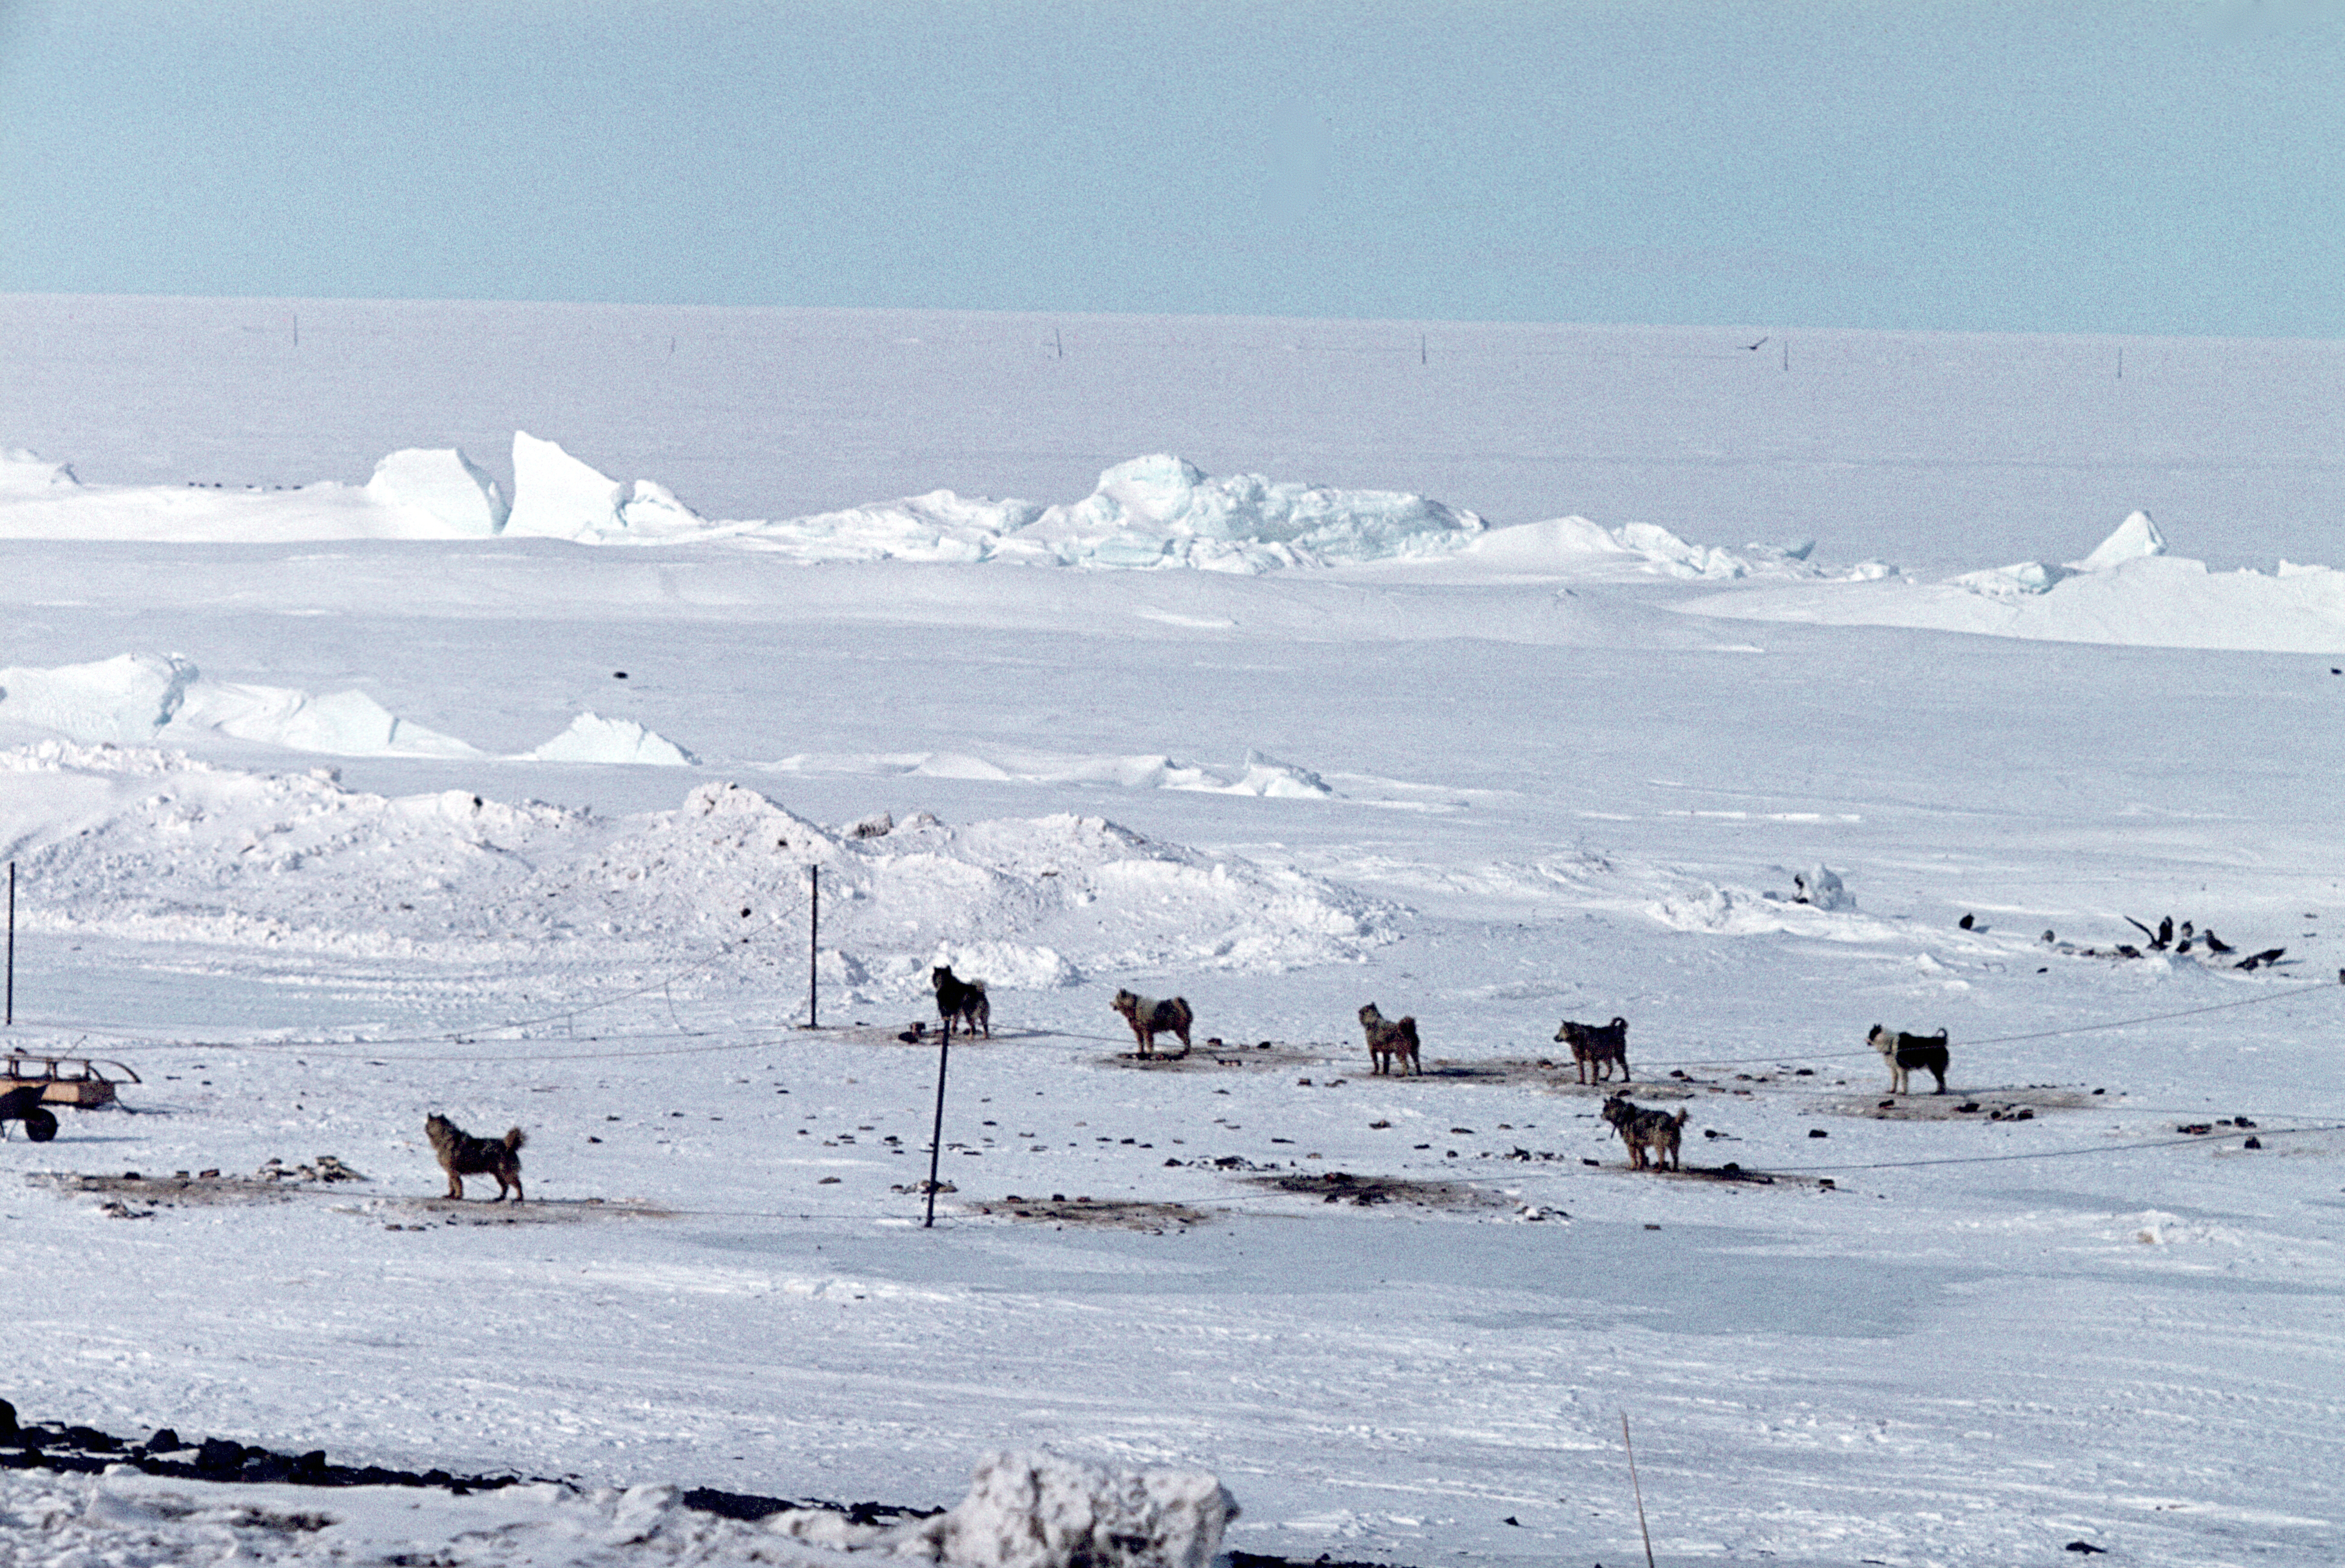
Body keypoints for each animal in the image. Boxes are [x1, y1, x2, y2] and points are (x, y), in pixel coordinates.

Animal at [429, 1111, 530, 1200]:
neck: (445, 1136)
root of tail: (509, 1146)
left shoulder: (453, 1172)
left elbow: (457, 1184)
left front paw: (457, 1196)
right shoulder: (451, 1171)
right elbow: (451, 1185)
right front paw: (451, 1196)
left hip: (506, 1173)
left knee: (518, 1184)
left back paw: (519, 1198)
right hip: (499, 1174)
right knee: (505, 1187)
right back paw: (500, 1198)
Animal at [1111, 984, 1191, 1059]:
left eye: (1116, 999)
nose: (1110, 1003)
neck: (1134, 1007)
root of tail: (1182, 1005)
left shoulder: (1147, 1031)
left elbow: (1149, 1043)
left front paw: (1149, 1053)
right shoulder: (1138, 1031)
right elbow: (1141, 1043)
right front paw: (1140, 1052)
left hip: (1180, 1029)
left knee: (1187, 1040)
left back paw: (1186, 1052)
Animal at [1369, 1003, 1416, 1078]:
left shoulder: (1373, 1048)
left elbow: (1376, 1062)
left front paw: (1376, 1071)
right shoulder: (1385, 1050)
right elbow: (1386, 1062)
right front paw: (1384, 1072)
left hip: (1400, 1052)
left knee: (1405, 1064)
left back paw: (1403, 1074)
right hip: (1413, 1050)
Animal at [1557, 1008, 1632, 1082]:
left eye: (1560, 1032)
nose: (1555, 1038)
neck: (1578, 1039)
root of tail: (1619, 1028)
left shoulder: (1594, 1059)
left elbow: (1594, 1072)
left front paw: (1593, 1082)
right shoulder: (1579, 1059)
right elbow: (1581, 1071)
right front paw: (1582, 1081)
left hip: (1618, 1055)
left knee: (1625, 1066)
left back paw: (1627, 1079)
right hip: (1606, 1056)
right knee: (1611, 1068)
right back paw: (1606, 1078)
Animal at [1595, 1097, 1688, 1167]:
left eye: (1605, 1109)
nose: (1600, 1116)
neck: (1622, 1114)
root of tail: (1672, 1121)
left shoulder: (1631, 1144)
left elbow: (1633, 1157)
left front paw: (1633, 1167)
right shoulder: (1639, 1144)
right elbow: (1642, 1157)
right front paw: (1640, 1167)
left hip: (1659, 1145)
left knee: (1662, 1159)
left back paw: (1659, 1170)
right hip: (1674, 1146)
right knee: (1676, 1159)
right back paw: (1674, 1169)